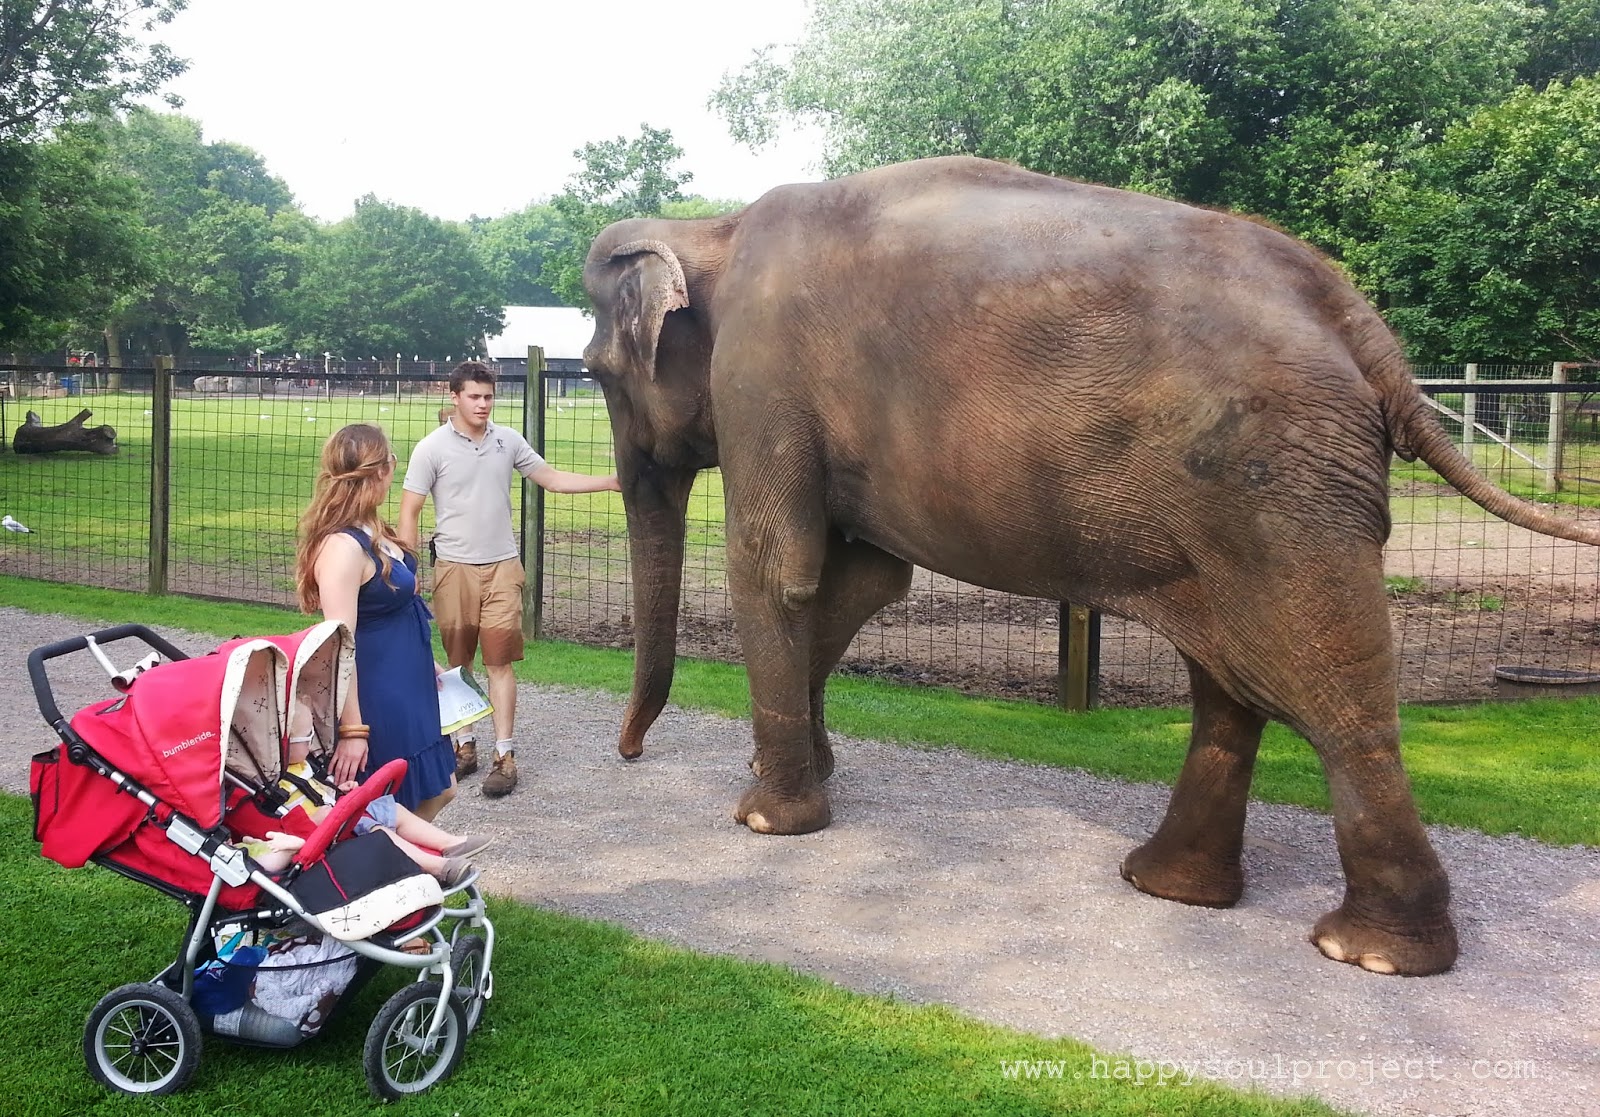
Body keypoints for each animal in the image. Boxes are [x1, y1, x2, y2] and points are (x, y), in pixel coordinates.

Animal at [579, 155, 1599, 976]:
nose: (628, 753)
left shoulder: (764, 379)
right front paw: (811, 773)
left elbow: (776, 569)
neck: (711, 230)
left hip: (1280, 482)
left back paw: (1366, 952)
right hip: (1242, 500)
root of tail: (1358, 318)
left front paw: (764, 817)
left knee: (1322, 681)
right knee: (1228, 678)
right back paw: (1169, 886)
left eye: (594, 375)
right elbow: (863, 582)